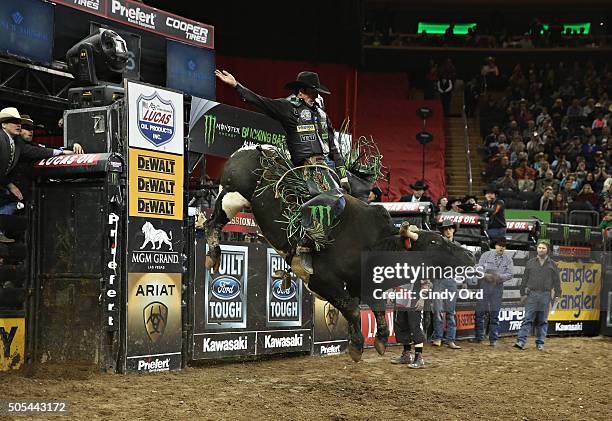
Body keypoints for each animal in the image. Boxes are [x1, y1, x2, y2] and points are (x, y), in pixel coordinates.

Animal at [206, 145, 474, 360]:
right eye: (435, 243)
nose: (470, 255)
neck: (374, 244)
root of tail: (252, 149)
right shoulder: (322, 281)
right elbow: (352, 308)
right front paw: (356, 347)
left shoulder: (361, 284)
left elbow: (374, 309)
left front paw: (380, 339)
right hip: (231, 196)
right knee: (212, 223)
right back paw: (213, 255)